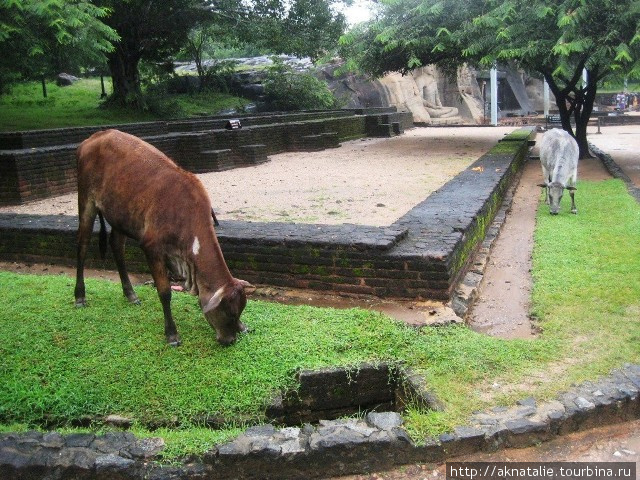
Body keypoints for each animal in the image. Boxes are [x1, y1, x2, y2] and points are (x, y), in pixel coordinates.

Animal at [74, 127, 254, 344]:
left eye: (240, 311)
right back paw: (80, 296)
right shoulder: (151, 247)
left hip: (120, 215)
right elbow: (165, 292)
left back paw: (131, 294)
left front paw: (244, 327)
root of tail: (91, 139)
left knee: (116, 246)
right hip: (86, 198)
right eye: (229, 313)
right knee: (82, 245)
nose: (229, 340)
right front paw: (172, 334)